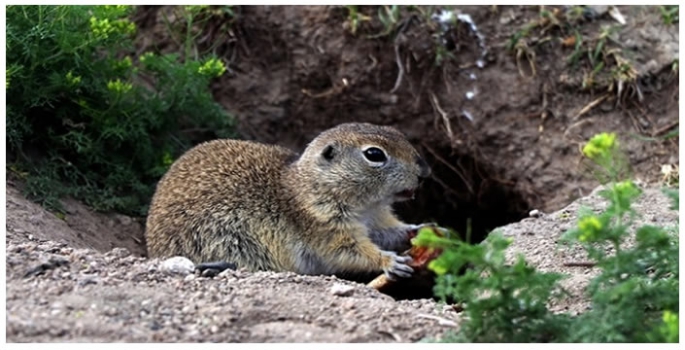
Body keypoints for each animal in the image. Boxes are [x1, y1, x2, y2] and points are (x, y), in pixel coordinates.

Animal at [146, 122, 430, 278]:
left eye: (398, 132)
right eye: (374, 154)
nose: (425, 171)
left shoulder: (376, 220)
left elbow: (388, 232)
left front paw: (421, 230)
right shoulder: (325, 227)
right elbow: (349, 251)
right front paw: (390, 261)